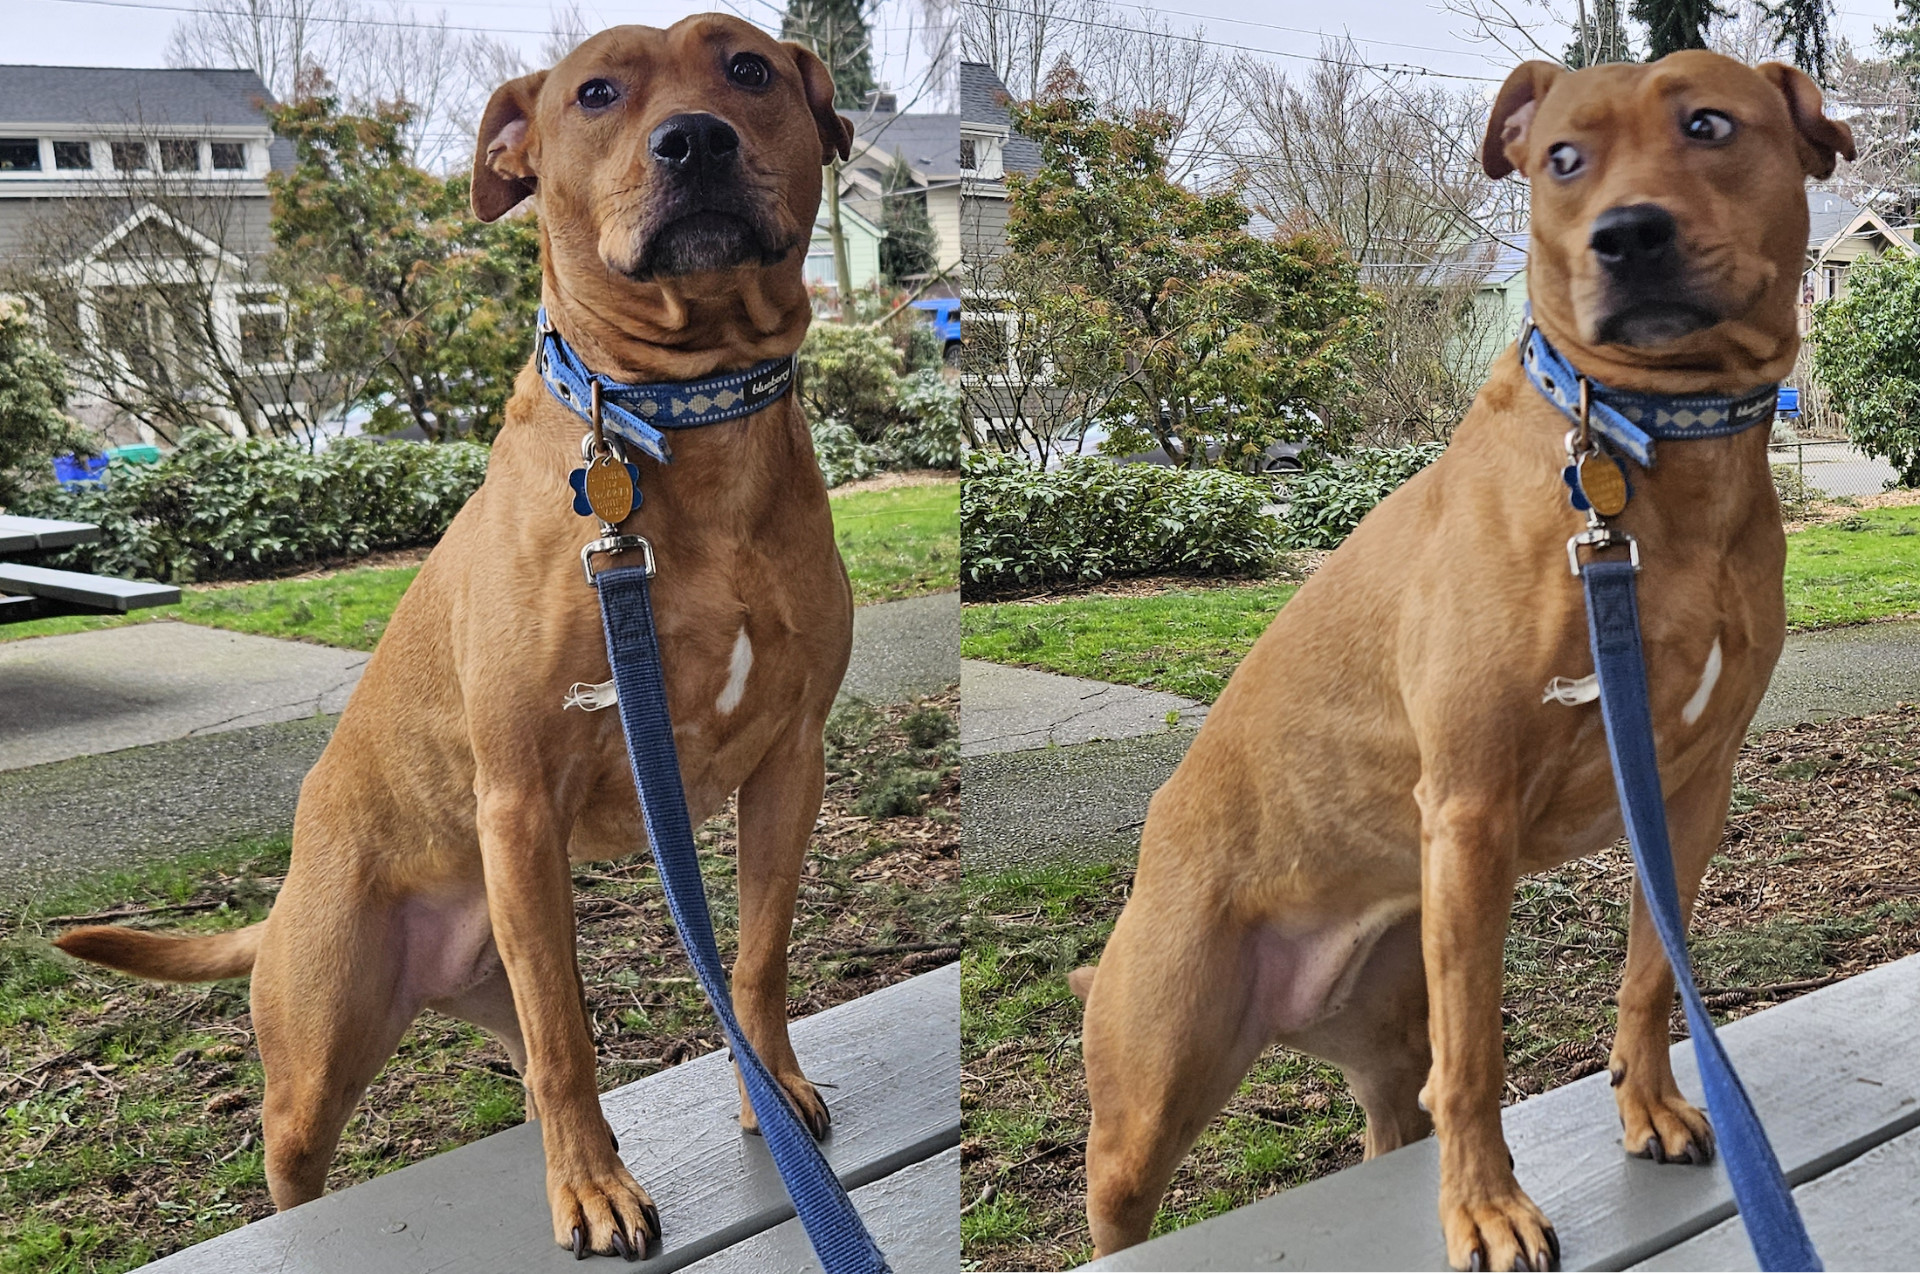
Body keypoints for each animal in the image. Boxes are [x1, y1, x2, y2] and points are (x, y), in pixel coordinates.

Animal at [60, 14, 856, 1258]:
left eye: (748, 69)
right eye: (596, 93)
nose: (693, 141)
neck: (677, 417)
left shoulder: (789, 762)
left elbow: (759, 957)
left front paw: (765, 1087)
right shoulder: (522, 800)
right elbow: (576, 1038)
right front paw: (593, 1187)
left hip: (492, 974)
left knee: (531, 1057)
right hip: (323, 1043)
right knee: (324, 1145)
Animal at [1075, 47, 1850, 1266]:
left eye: (1711, 126)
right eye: (1564, 157)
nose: (1627, 235)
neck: (1645, 445)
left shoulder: (1687, 793)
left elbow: (1649, 974)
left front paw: (1650, 1104)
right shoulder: (1474, 810)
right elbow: (1478, 1057)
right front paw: (1488, 1206)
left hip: (1383, 1034)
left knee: (1397, 1114)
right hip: (1150, 1087)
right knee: (1131, 1198)